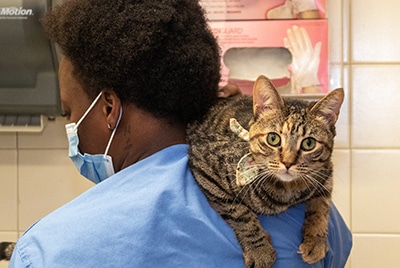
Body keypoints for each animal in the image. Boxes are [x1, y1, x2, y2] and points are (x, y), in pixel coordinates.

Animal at [188, 74, 344, 266]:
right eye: (273, 139)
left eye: (309, 143)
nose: (288, 162)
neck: (288, 191)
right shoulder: (205, 168)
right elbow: (240, 213)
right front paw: (259, 250)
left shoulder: (326, 172)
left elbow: (321, 206)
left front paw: (315, 241)